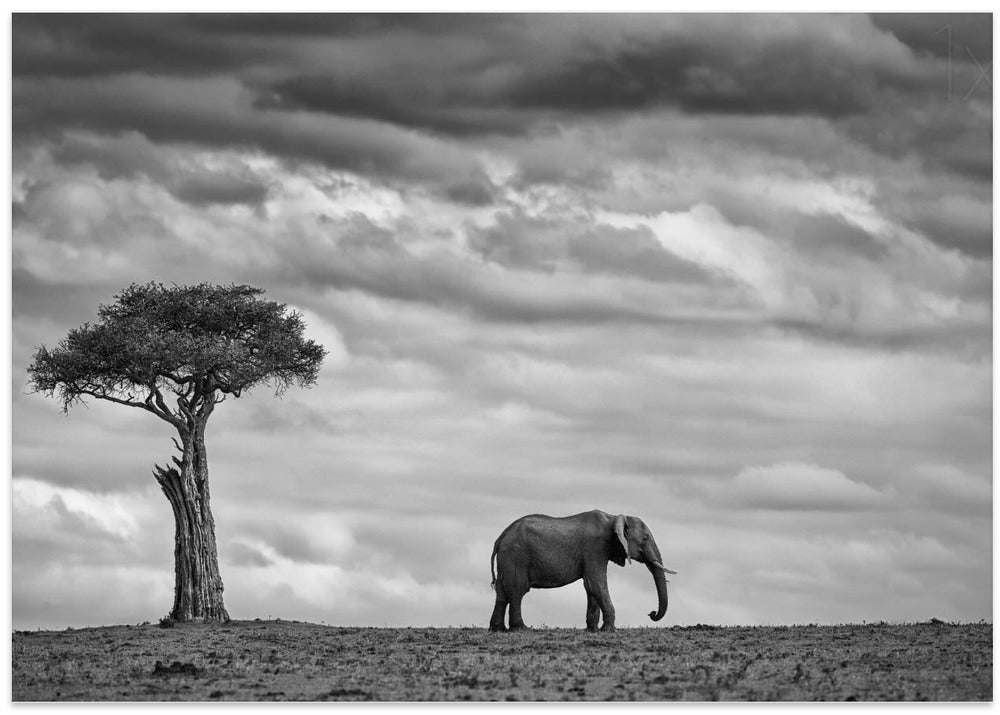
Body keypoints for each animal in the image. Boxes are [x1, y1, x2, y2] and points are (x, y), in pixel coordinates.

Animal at [488, 509, 676, 632]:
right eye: (644, 538)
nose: (651, 613)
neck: (613, 517)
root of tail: (499, 538)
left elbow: (590, 587)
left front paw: (593, 630)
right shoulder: (595, 548)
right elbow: (596, 583)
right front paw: (609, 630)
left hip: (507, 559)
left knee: (502, 593)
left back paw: (497, 629)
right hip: (516, 556)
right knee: (517, 591)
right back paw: (521, 629)